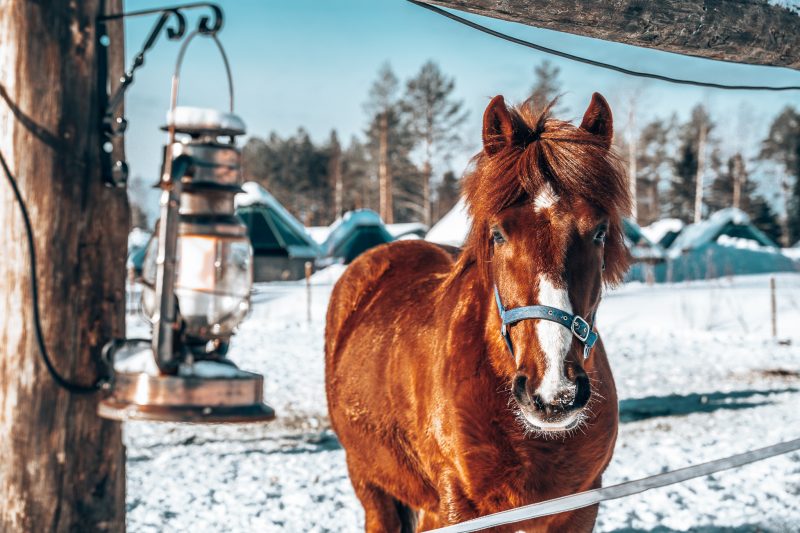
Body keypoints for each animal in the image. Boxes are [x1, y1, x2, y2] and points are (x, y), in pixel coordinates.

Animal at [325, 92, 631, 532]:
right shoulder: (457, 510)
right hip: (371, 485)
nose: (554, 393)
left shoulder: (579, 511)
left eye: (600, 232)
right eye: (498, 233)